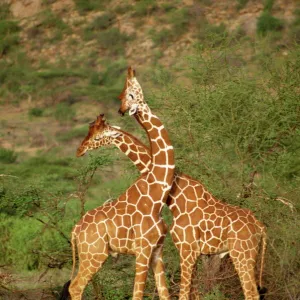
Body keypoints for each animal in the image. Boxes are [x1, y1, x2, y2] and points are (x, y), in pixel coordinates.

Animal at [61, 77, 175, 298]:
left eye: (97, 137)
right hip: (94, 254)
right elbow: (137, 293)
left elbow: (164, 293)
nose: (79, 150)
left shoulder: (157, 250)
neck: (156, 195)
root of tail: (75, 230)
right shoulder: (143, 249)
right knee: (75, 286)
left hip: (92, 255)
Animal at [112, 67, 264, 298]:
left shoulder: (187, 249)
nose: (121, 110)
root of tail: (260, 226)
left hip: (242, 253)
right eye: (123, 94)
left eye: (130, 92)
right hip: (244, 254)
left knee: (251, 292)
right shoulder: (190, 250)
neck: (175, 197)